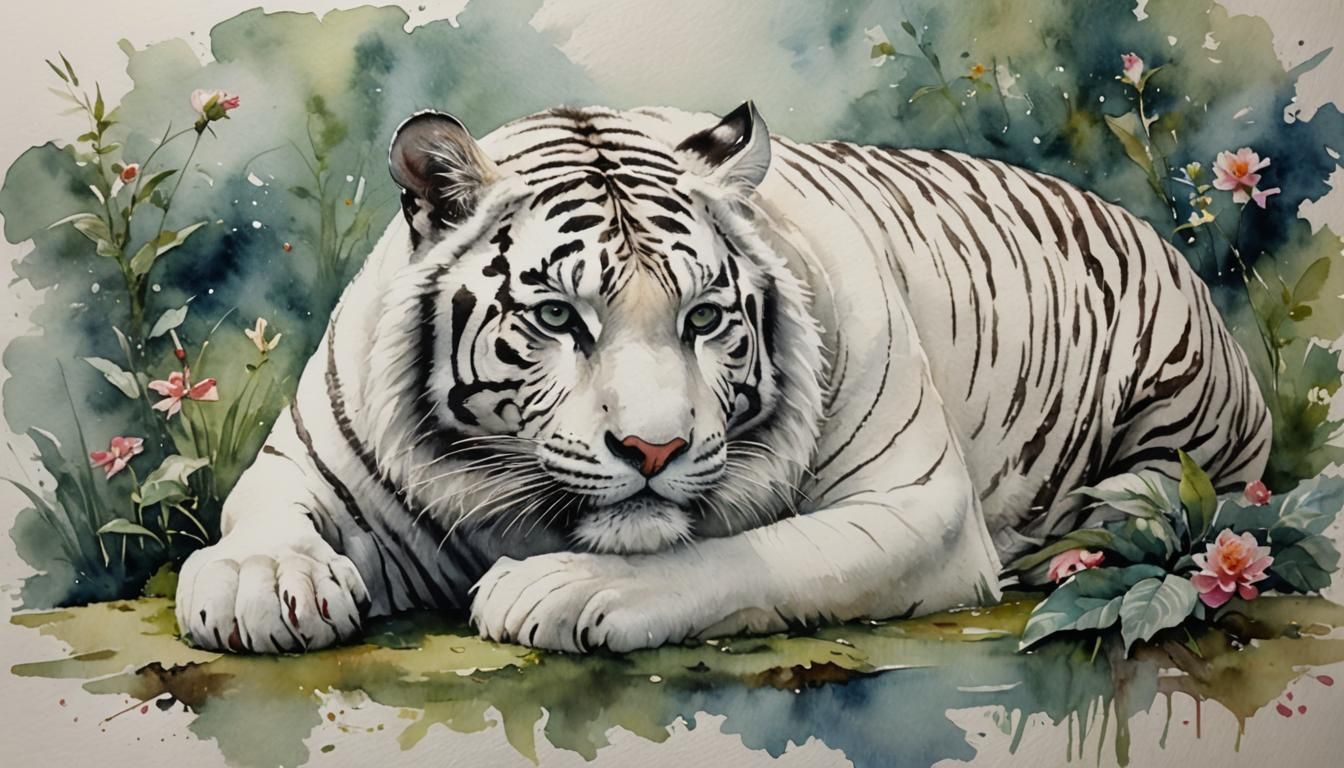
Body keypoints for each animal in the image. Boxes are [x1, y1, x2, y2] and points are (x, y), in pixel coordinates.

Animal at [174, 102, 1270, 654]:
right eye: (558, 317)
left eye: (704, 318)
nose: (652, 448)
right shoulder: (310, 456)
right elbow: (259, 506)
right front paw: (262, 583)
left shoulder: (918, 505)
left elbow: (744, 555)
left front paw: (563, 586)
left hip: (1181, 407)